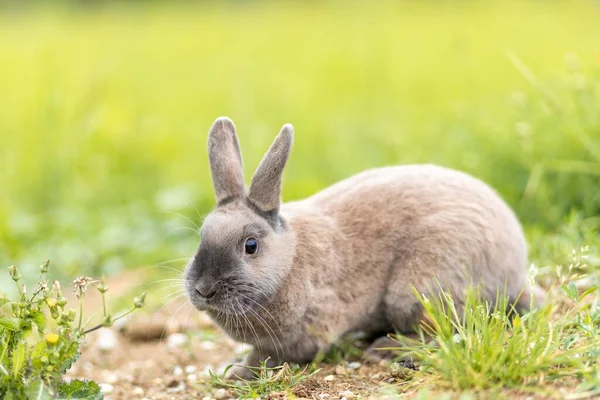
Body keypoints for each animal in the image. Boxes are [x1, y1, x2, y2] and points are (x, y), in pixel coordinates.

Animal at [183, 117, 544, 380]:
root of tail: (514, 269)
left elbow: (269, 355)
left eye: (251, 245)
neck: (291, 258)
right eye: (201, 236)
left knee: (448, 328)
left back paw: (384, 349)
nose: (204, 289)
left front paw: (240, 373)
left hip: (419, 287)